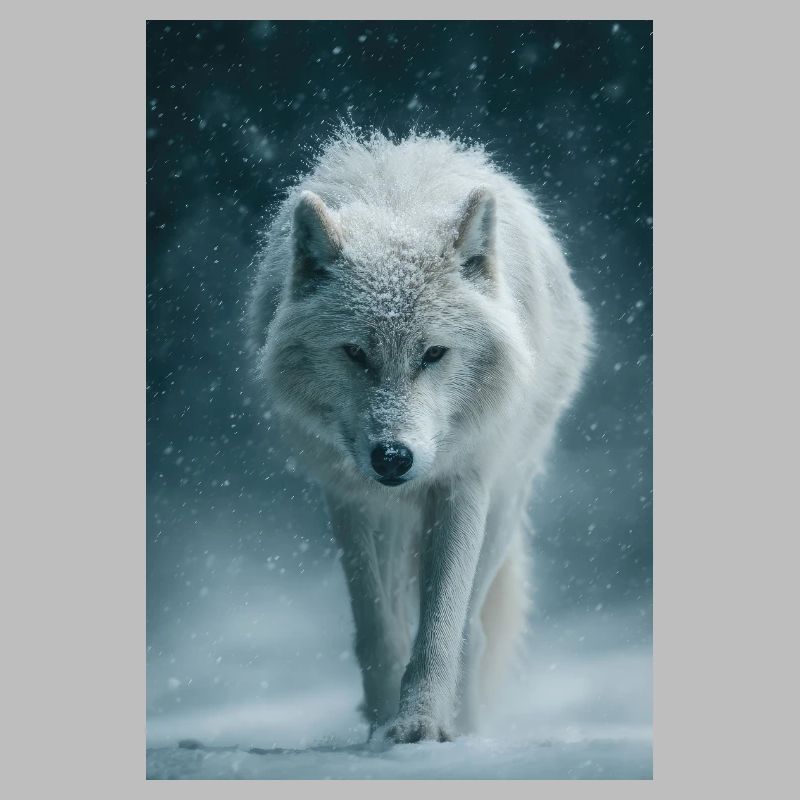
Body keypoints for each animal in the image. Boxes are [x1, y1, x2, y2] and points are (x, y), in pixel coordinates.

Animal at [248, 131, 591, 743]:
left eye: (433, 353)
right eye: (355, 353)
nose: (393, 458)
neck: (398, 206)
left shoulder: (463, 484)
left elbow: (440, 629)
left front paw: (420, 725)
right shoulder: (351, 499)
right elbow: (378, 630)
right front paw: (383, 722)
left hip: (505, 503)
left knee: (474, 631)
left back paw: (470, 727)